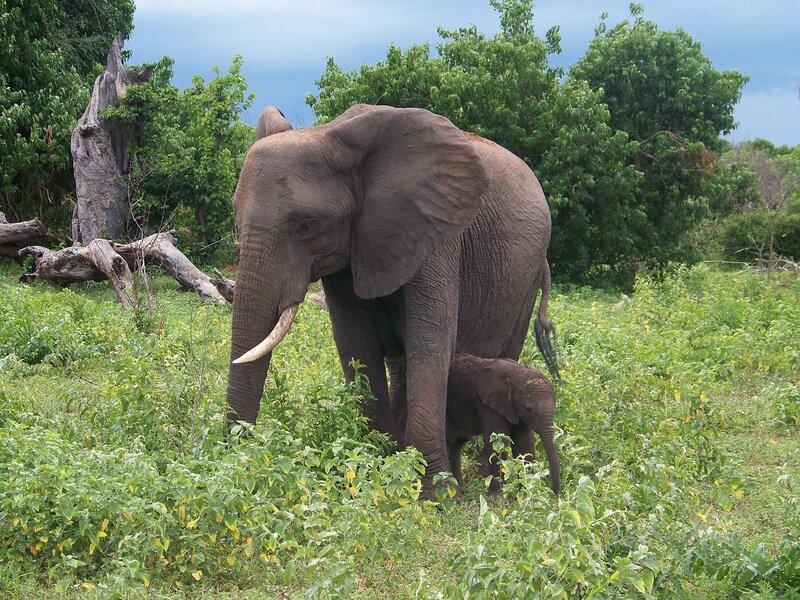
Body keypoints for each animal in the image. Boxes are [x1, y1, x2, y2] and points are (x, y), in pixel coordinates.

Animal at [444, 354, 560, 495]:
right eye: (528, 409)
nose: (554, 493)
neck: (516, 373)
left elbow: (524, 444)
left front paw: (527, 493)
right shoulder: (488, 405)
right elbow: (497, 442)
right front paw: (496, 496)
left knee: (457, 445)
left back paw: (461, 490)